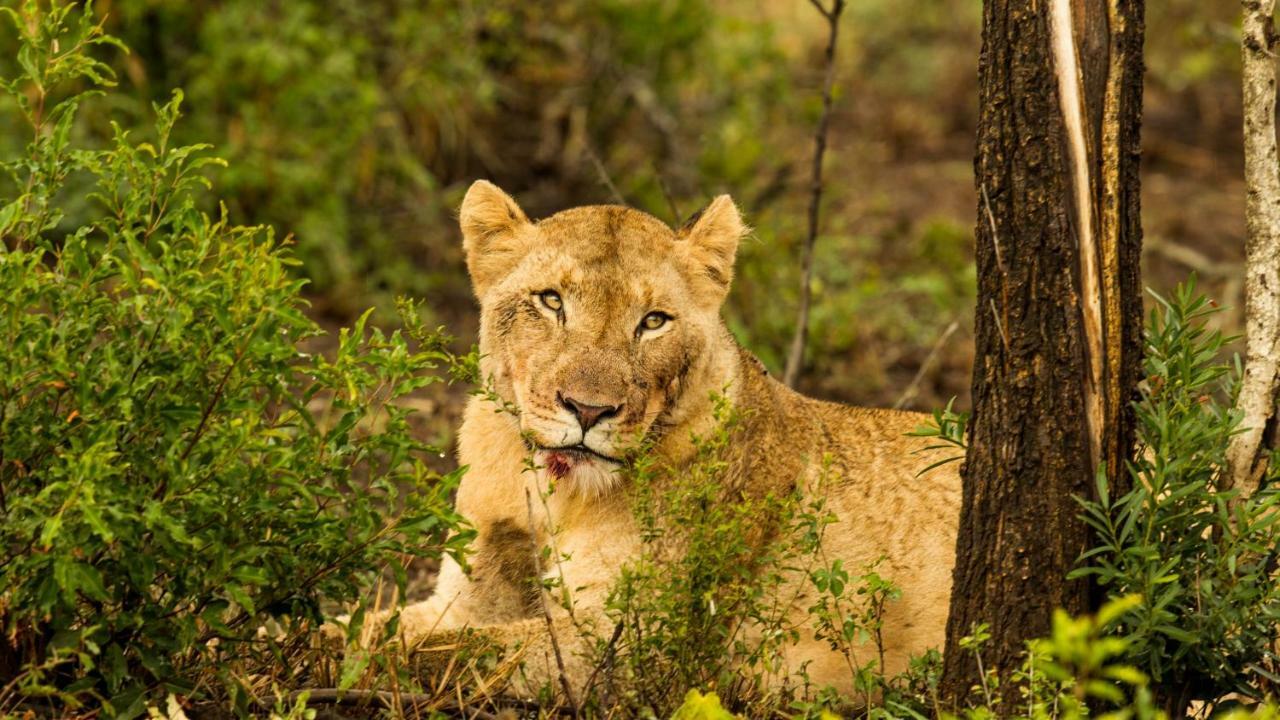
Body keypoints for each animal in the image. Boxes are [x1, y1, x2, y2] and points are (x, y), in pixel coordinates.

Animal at [373, 179, 957, 702]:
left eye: (653, 321)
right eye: (551, 301)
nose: (588, 409)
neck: (551, 494)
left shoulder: (635, 645)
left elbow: (449, 651)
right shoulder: (463, 597)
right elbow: (385, 625)